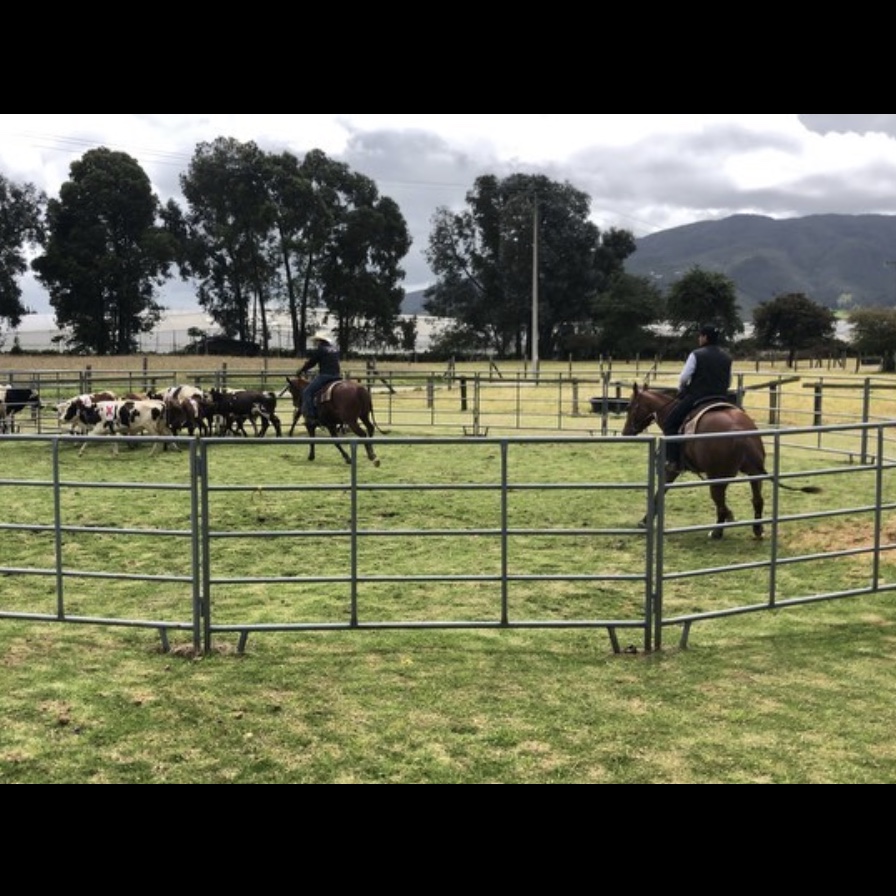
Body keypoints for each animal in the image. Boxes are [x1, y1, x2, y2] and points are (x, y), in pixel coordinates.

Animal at [622, 383, 819, 539]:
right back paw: (757, 529)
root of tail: (741, 434)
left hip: (718, 476)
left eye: (630, 406)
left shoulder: (671, 468)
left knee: (719, 500)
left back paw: (717, 531)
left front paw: (644, 521)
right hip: (753, 473)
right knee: (756, 500)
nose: (625, 433)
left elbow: (659, 493)